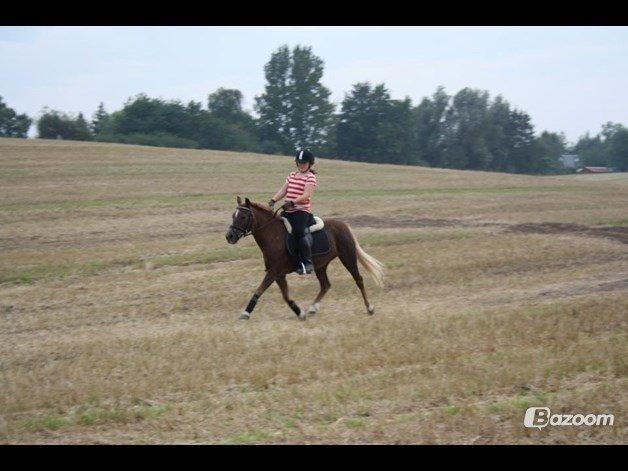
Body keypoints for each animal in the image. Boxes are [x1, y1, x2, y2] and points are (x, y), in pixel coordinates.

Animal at [223, 195, 386, 320]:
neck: (273, 235)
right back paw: (312, 308)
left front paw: (246, 313)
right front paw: (300, 313)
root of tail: (344, 225)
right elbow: (286, 296)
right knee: (325, 285)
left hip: (348, 257)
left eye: (243, 216)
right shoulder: (278, 274)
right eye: (233, 216)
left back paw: (370, 308)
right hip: (321, 265)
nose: (229, 236)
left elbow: (259, 291)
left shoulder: (274, 272)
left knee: (358, 279)